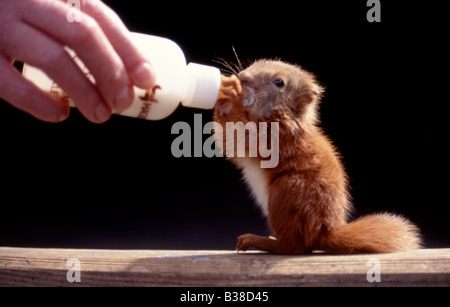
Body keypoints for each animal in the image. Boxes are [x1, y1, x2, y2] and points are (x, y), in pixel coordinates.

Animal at [213, 59, 420, 255]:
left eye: (279, 82)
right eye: (255, 64)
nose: (243, 77)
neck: (281, 115)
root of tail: (323, 232)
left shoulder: (274, 139)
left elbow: (237, 136)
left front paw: (228, 98)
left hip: (286, 191)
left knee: (294, 247)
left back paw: (259, 241)